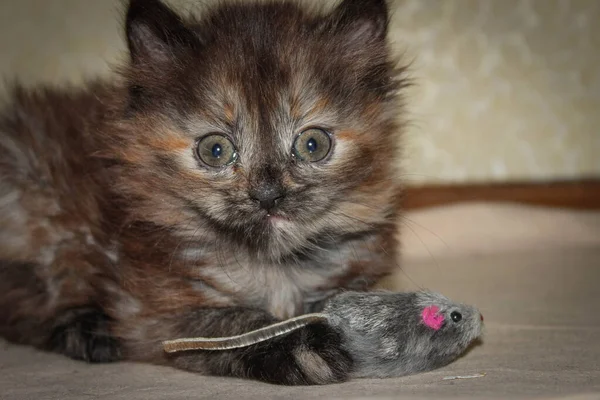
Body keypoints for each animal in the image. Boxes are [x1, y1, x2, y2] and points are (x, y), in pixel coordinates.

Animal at [0, 0, 408, 386]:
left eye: (312, 145)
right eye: (215, 150)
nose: (267, 195)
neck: (275, 267)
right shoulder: (150, 314)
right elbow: (231, 322)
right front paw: (299, 344)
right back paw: (88, 331)